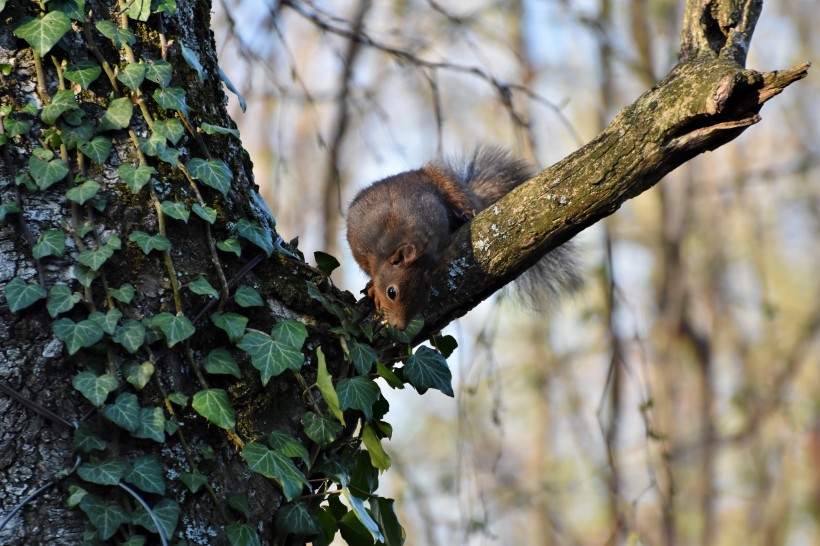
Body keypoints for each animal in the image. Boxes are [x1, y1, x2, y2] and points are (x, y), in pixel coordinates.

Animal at [346, 144, 584, 330]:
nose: (399, 326)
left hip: (450, 184)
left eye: (425, 298)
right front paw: (372, 288)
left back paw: (464, 215)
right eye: (391, 292)